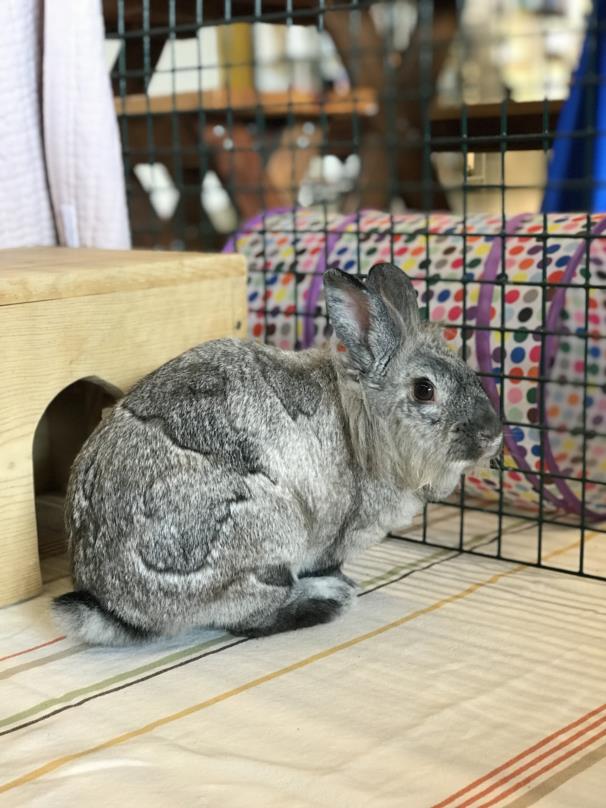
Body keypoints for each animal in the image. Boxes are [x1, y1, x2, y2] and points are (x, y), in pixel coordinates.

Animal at [52, 266, 502, 644]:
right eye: (424, 390)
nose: (493, 434)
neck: (368, 419)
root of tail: (115, 609)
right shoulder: (338, 536)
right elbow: (329, 562)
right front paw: (345, 583)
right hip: (265, 538)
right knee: (250, 619)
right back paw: (329, 600)